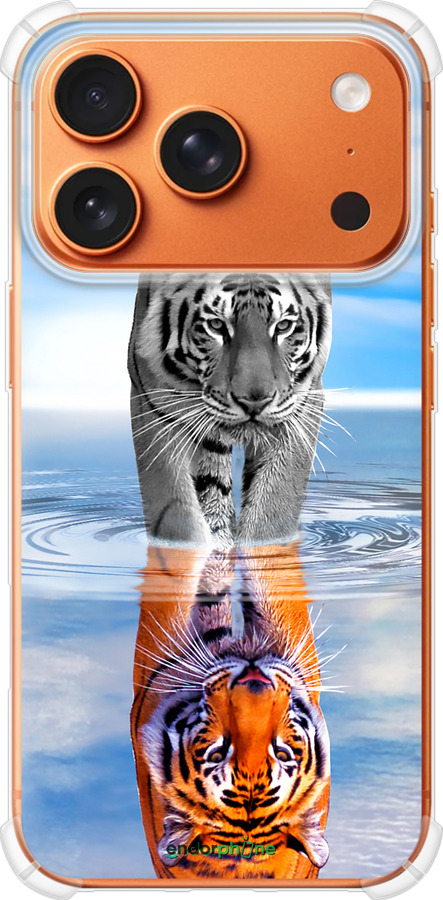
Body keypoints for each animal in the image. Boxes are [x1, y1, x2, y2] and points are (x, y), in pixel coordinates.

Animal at [128, 273, 332, 548]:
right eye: (216, 325)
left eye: (283, 326)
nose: (254, 402)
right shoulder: (155, 404)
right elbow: (177, 512)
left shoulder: (301, 406)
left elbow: (274, 503)